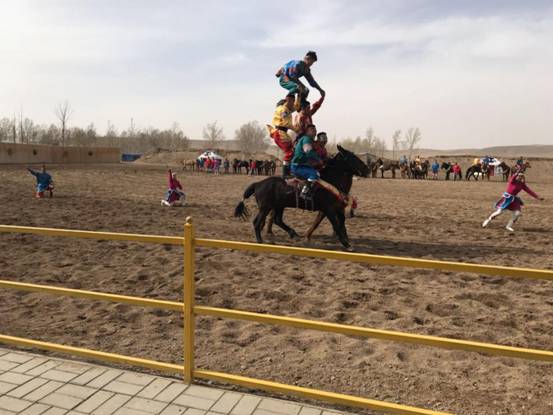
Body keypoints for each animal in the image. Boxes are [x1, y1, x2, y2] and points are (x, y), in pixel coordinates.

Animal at [233, 146, 369, 250]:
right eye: (352, 157)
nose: (367, 169)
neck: (332, 181)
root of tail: (258, 184)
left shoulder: (338, 209)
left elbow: (342, 224)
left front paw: (346, 241)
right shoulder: (328, 210)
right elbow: (336, 225)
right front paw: (346, 244)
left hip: (278, 206)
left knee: (277, 220)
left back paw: (292, 233)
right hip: (265, 207)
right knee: (257, 222)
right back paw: (260, 240)